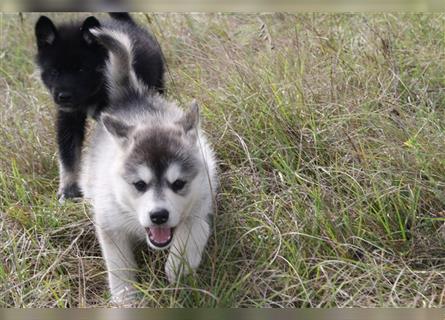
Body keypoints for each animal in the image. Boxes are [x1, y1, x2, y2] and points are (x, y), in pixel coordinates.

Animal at [34, 14, 163, 202]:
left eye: (81, 69)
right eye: (54, 71)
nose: (63, 97)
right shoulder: (68, 118)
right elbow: (68, 156)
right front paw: (68, 189)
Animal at [80, 27, 219, 302]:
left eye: (179, 184)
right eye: (139, 185)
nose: (158, 216)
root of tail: (132, 95)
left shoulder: (201, 205)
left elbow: (193, 229)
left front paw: (178, 265)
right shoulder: (110, 223)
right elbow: (119, 267)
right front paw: (126, 299)